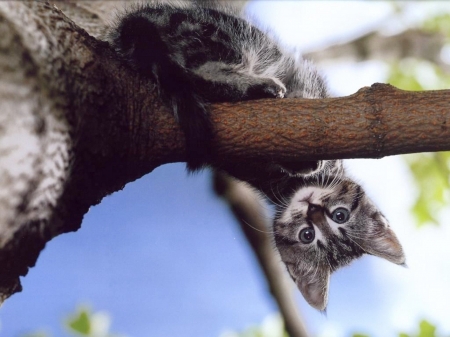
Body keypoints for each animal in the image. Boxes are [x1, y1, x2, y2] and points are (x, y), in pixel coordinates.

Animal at [108, 0, 404, 310]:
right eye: (339, 215)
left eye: (308, 234)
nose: (312, 209)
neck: (285, 186)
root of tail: (136, 24)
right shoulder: (307, 80)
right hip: (229, 35)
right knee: (206, 67)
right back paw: (257, 86)